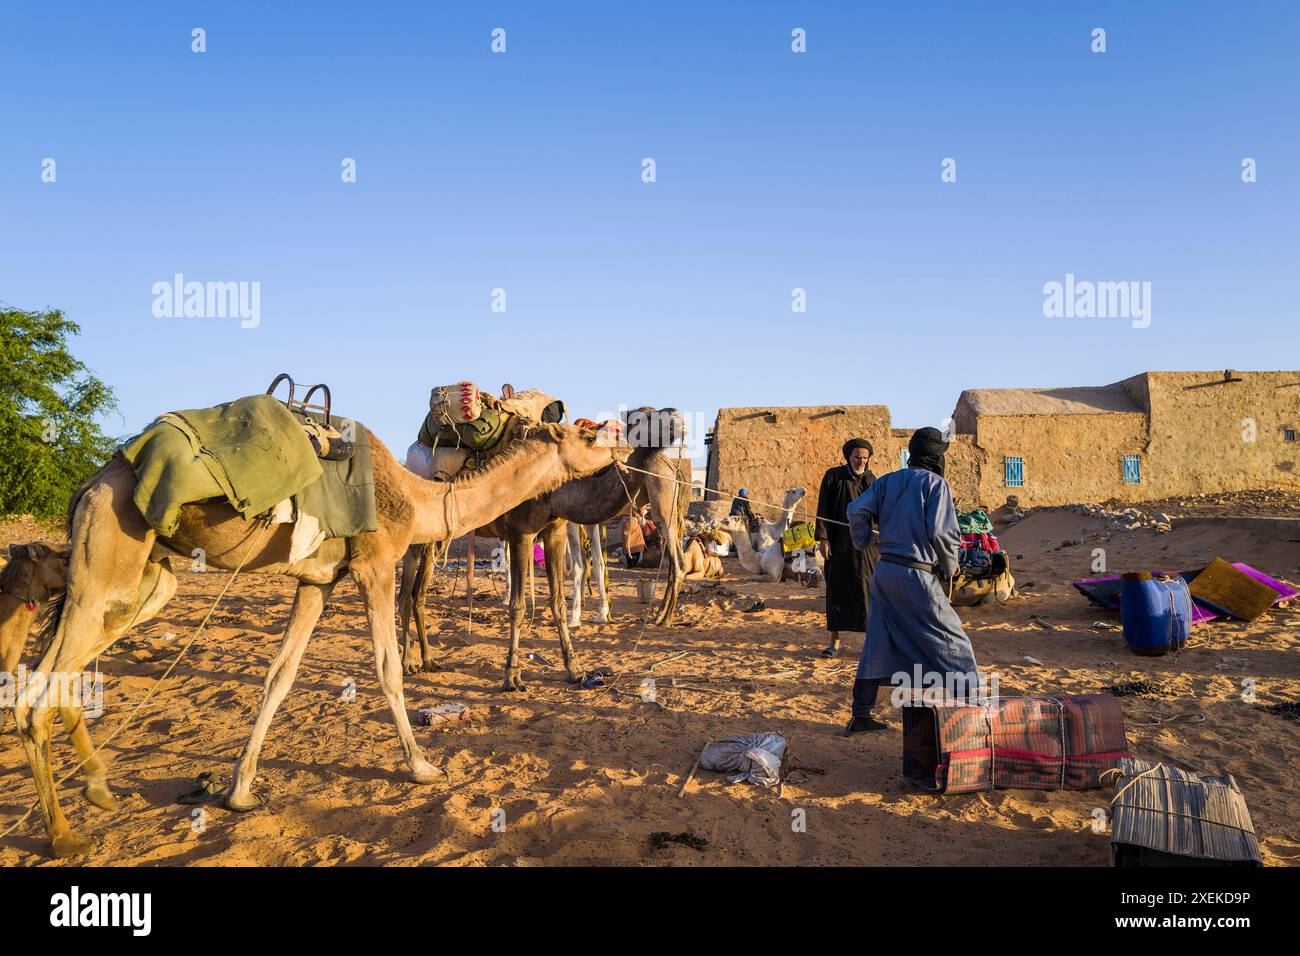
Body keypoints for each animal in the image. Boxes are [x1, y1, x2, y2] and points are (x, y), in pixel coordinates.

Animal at [13, 416, 613, 858]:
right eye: (586, 433)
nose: (620, 439)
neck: (416, 498)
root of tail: (88, 487)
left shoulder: (317, 581)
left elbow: (281, 673)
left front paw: (239, 791)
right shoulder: (374, 563)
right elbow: (386, 669)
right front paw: (423, 767)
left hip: (144, 582)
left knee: (60, 675)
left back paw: (98, 790)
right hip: (108, 554)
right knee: (34, 694)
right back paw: (63, 836)